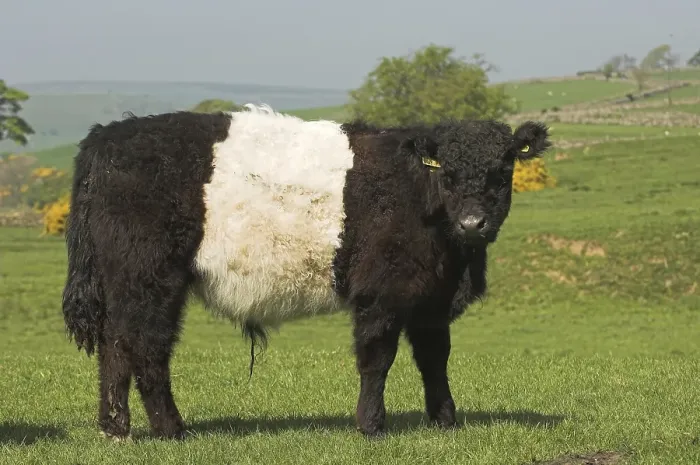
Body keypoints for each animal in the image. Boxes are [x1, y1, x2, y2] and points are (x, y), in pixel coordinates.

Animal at [61, 104, 551, 440]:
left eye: (503, 169)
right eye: (447, 172)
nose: (473, 223)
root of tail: (109, 135)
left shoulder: (431, 298)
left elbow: (434, 359)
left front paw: (445, 421)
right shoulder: (381, 293)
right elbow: (377, 358)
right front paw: (371, 426)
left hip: (123, 283)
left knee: (115, 345)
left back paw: (115, 428)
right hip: (150, 277)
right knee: (147, 346)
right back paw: (171, 429)